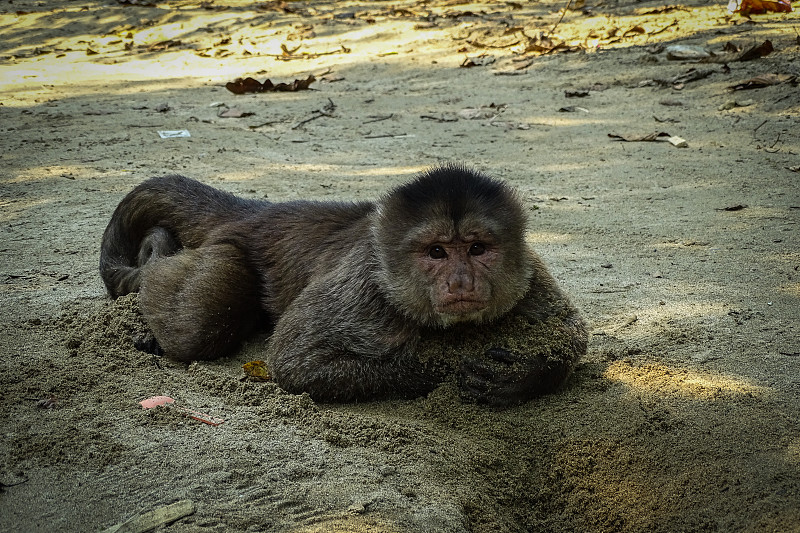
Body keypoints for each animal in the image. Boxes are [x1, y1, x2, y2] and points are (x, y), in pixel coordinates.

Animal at [100, 164, 588, 406]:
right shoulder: (366, 286)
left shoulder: (528, 270)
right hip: (228, 248)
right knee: (200, 325)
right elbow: (295, 361)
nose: (461, 281)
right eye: (436, 253)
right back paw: (154, 260)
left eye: (477, 248)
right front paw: (434, 366)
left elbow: (571, 332)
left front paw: (523, 377)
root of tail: (261, 212)